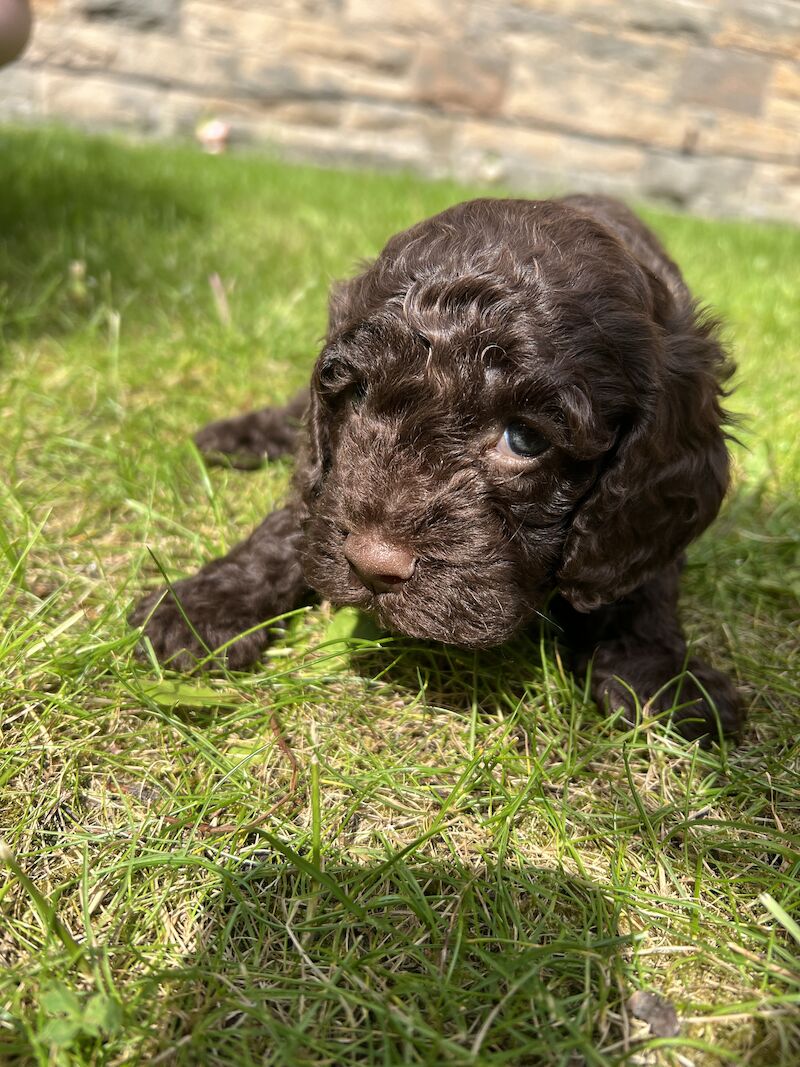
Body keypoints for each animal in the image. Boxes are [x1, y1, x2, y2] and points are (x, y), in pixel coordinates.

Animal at [131, 194, 746, 742]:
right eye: (357, 396)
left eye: (525, 439)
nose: (371, 566)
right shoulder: (328, 480)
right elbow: (300, 512)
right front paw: (205, 605)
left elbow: (640, 585)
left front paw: (664, 678)